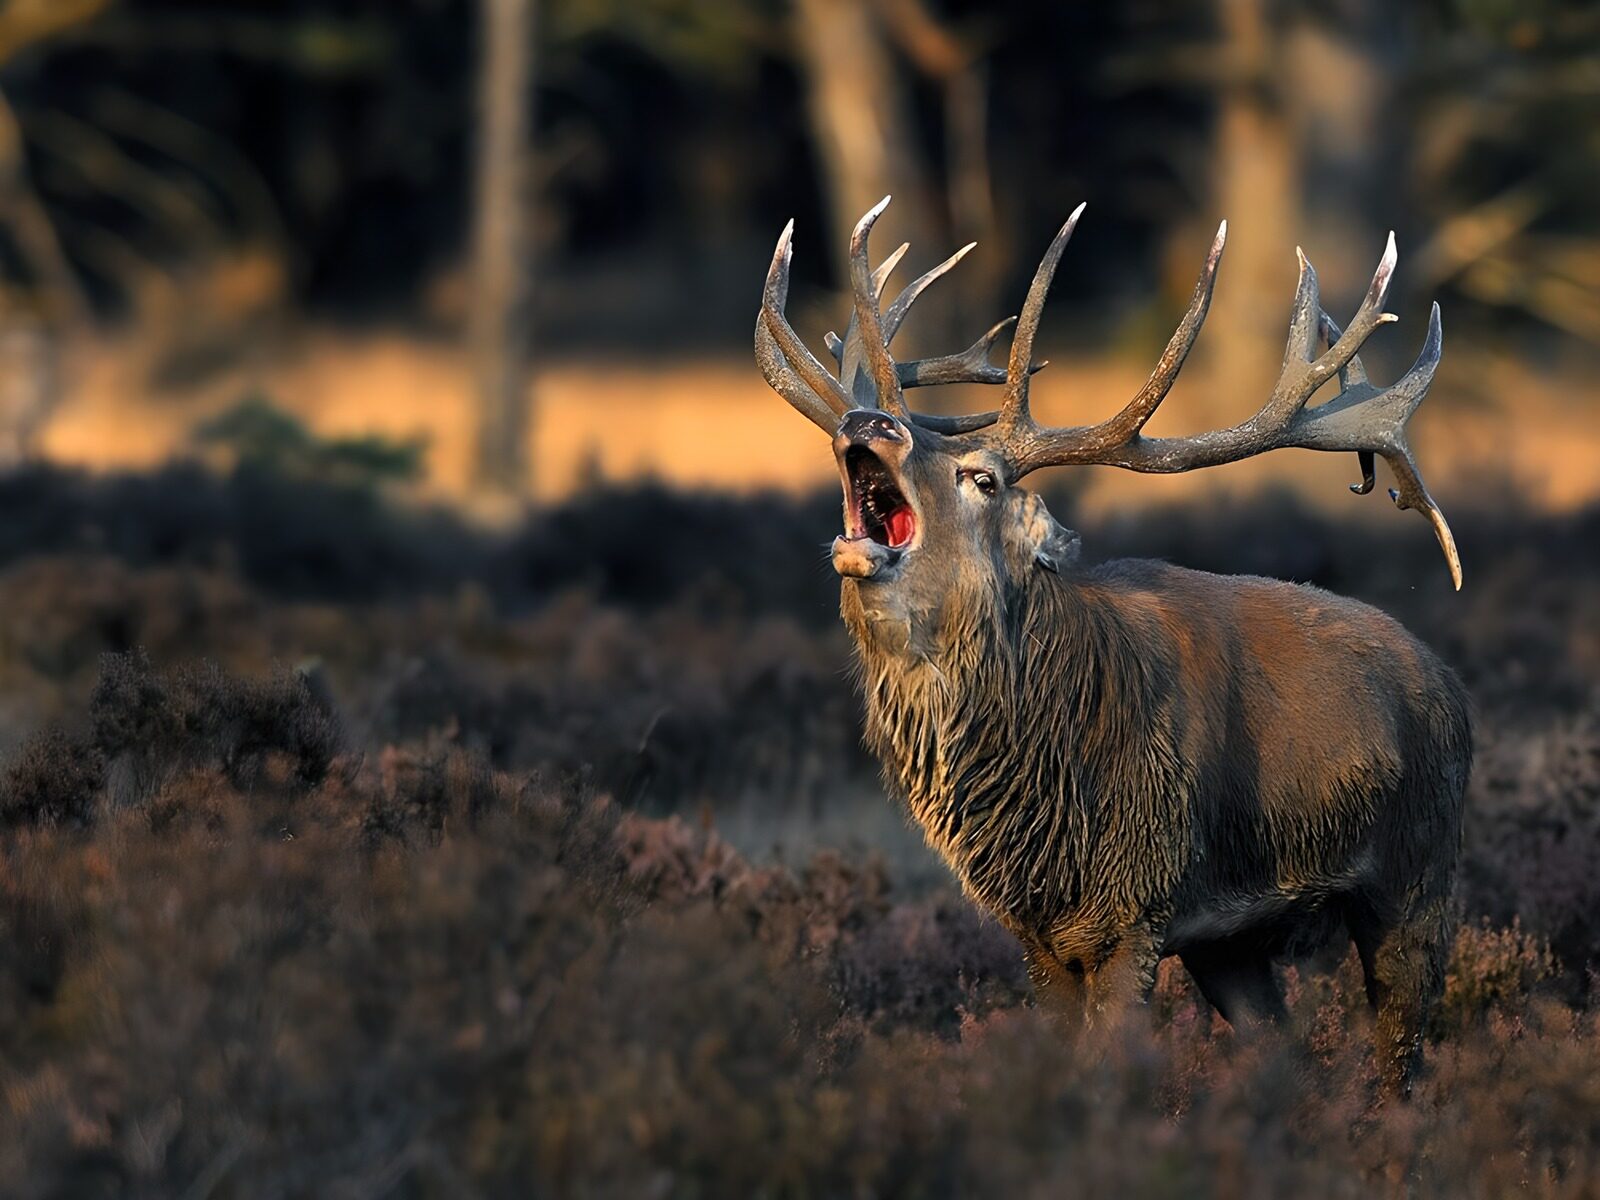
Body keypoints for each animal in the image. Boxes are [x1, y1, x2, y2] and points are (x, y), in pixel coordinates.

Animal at [755, 197, 1472, 1093]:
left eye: (983, 479)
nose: (868, 420)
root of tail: (1451, 682)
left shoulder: (1137, 902)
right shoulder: (1038, 931)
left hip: (1421, 867)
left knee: (1399, 1052)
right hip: (1232, 940)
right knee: (1284, 1043)